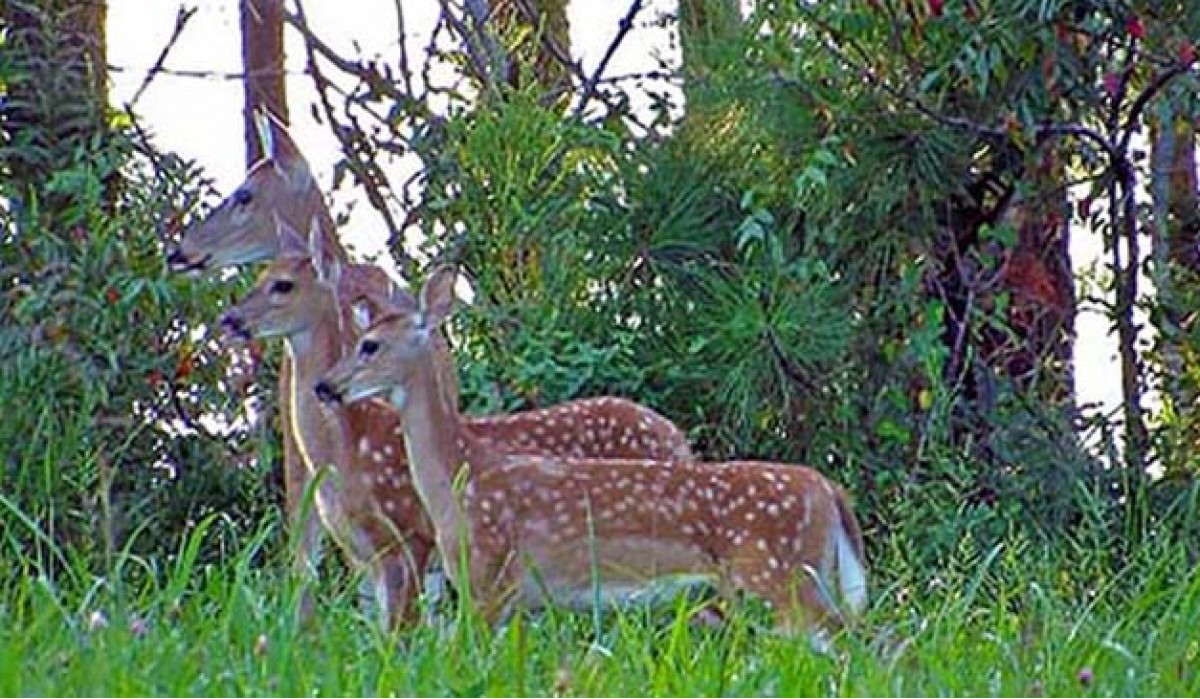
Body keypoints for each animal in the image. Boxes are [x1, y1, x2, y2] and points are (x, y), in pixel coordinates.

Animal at [220, 220, 700, 634]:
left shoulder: (409, 535)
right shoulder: (364, 553)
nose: (230, 320)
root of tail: (678, 440)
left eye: (283, 284)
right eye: (260, 273)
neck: (347, 447)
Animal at [314, 265, 868, 648]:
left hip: (780, 570)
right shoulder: (513, 600)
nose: (324, 386)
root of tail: (828, 490)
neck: (460, 479)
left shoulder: (489, 579)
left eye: (369, 345)